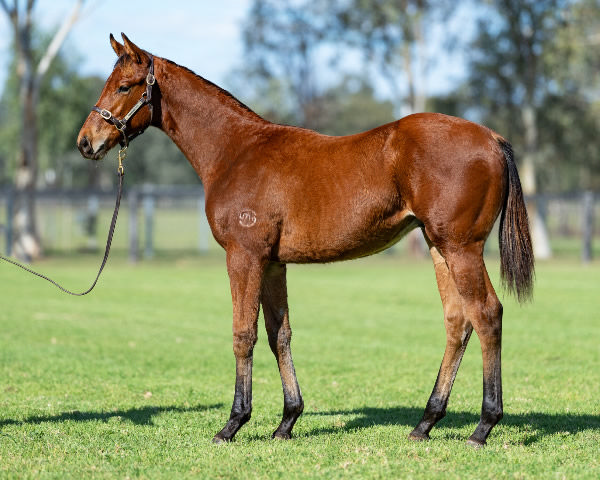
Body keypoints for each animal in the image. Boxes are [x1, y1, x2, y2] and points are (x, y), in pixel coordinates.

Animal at [76, 33, 536, 446]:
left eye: (123, 86)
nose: (86, 142)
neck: (235, 151)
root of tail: (492, 138)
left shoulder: (244, 257)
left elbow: (243, 334)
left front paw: (233, 424)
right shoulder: (272, 263)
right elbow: (279, 333)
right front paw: (287, 421)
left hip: (462, 249)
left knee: (486, 314)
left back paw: (483, 427)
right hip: (440, 248)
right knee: (458, 321)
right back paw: (426, 423)